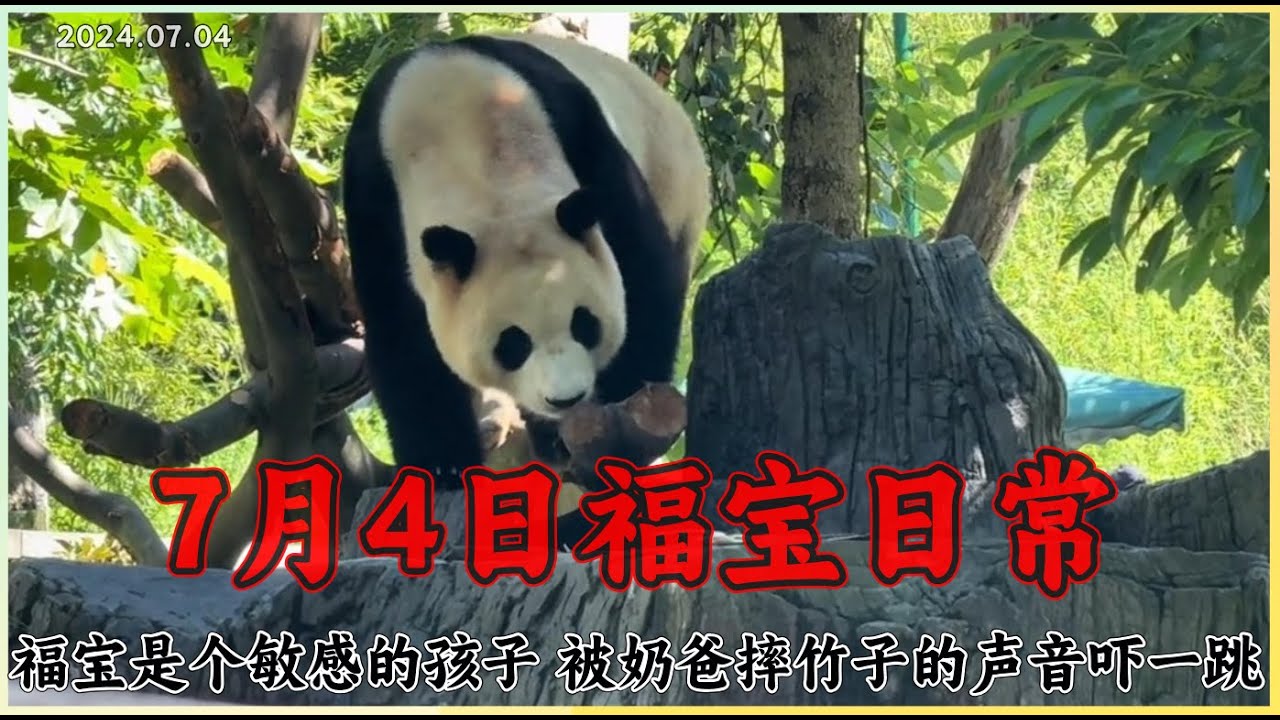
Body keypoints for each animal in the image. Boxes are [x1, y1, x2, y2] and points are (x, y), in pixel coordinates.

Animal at [339, 31, 712, 511]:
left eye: (585, 323)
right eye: (512, 343)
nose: (567, 398)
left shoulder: (580, 134)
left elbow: (642, 271)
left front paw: (625, 399)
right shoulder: (376, 198)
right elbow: (401, 333)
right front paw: (442, 466)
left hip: (675, 180)